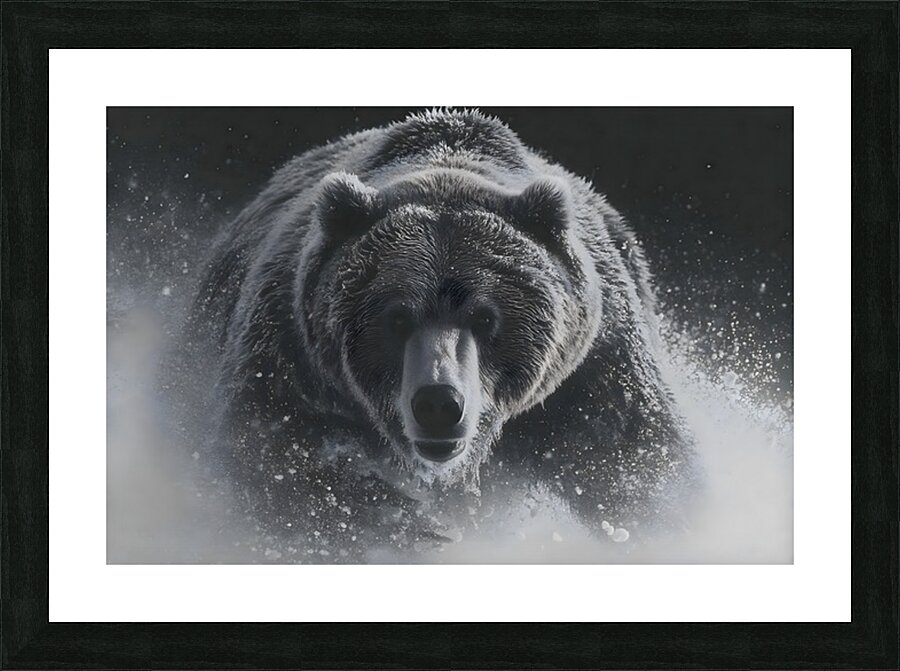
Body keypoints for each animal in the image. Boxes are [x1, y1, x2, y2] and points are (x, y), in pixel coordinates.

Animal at [181, 109, 697, 561]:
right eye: (397, 318)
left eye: (485, 318)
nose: (438, 404)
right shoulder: (291, 342)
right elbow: (267, 443)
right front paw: (407, 528)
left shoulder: (592, 364)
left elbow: (637, 458)